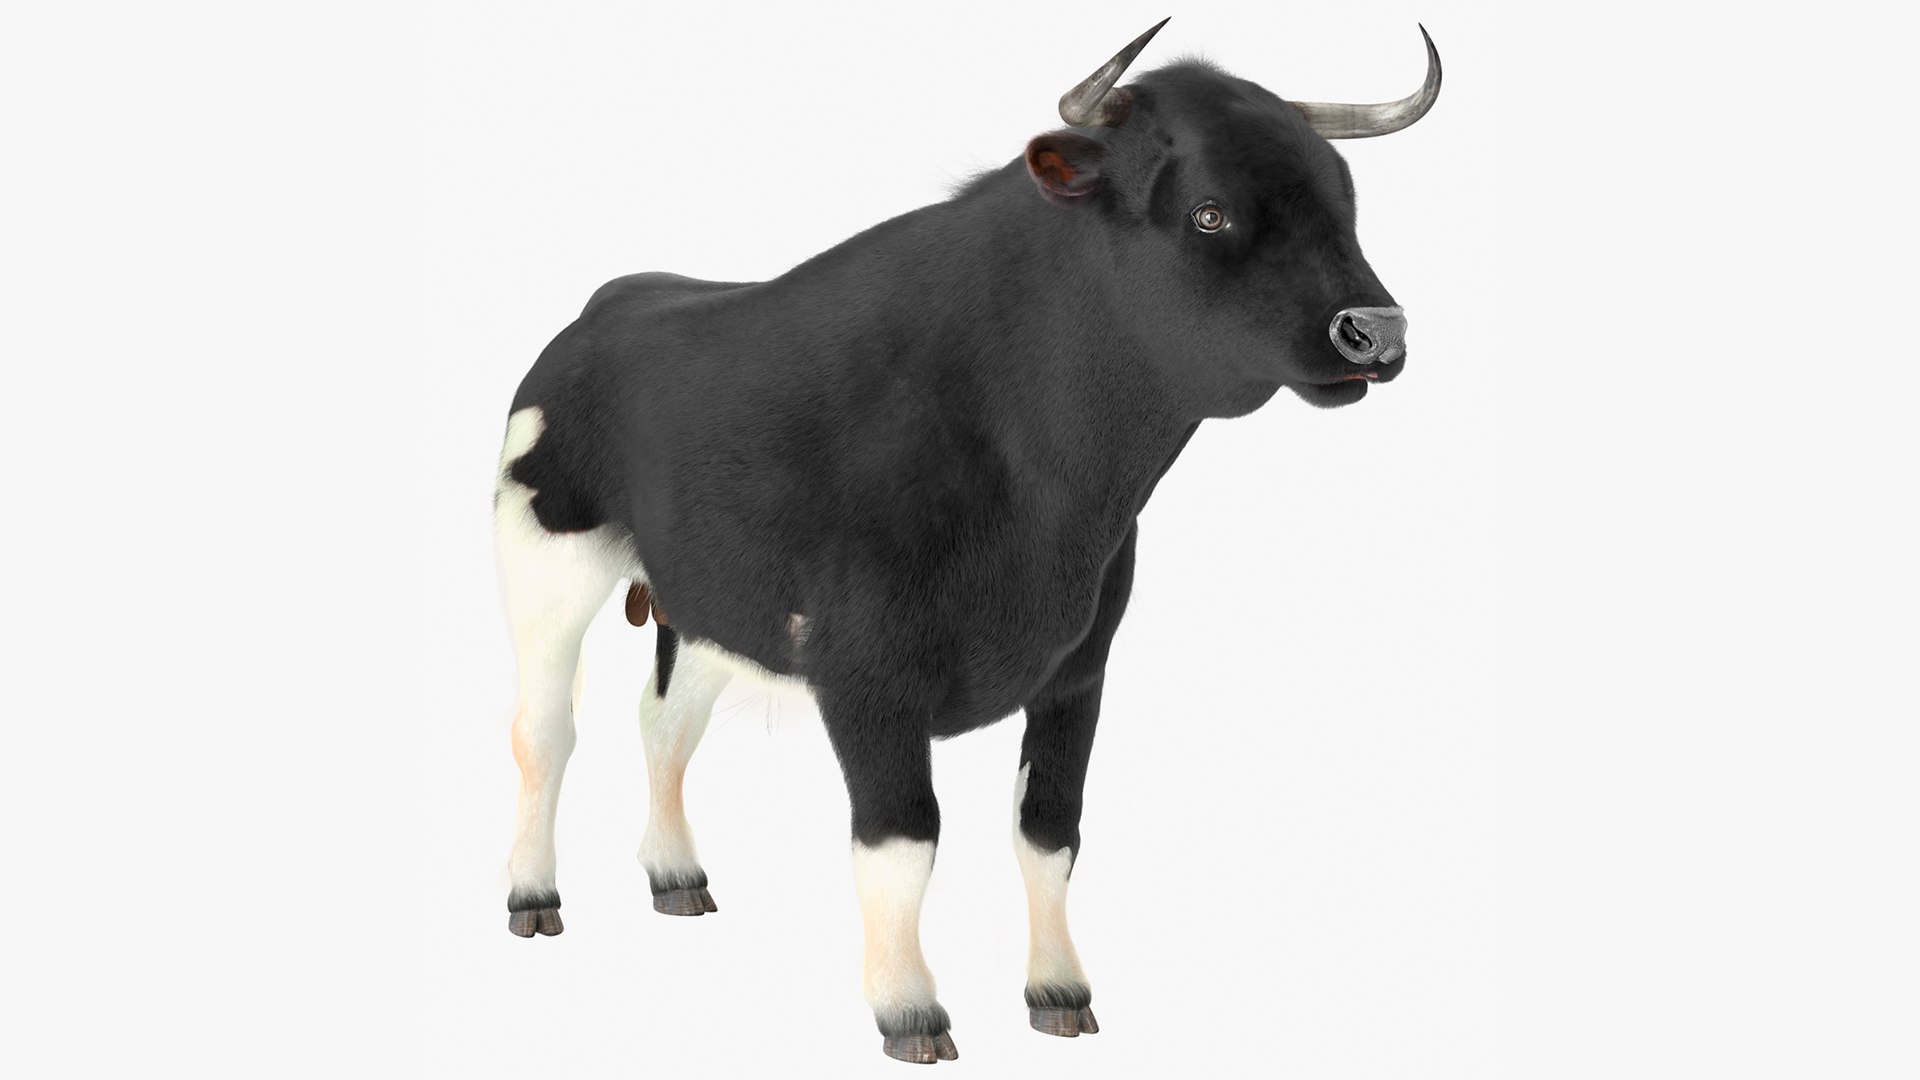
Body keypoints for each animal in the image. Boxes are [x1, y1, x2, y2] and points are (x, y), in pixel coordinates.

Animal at [492, 19, 1441, 1064]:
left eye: (1345, 201)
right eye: (1209, 212)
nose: (1375, 331)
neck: (1049, 491)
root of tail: (615, 299)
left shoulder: (1079, 668)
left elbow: (1049, 831)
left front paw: (1059, 992)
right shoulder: (866, 675)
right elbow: (902, 838)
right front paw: (910, 1010)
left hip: (700, 603)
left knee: (663, 723)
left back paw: (676, 879)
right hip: (546, 566)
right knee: (544, 730)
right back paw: (532, 895)